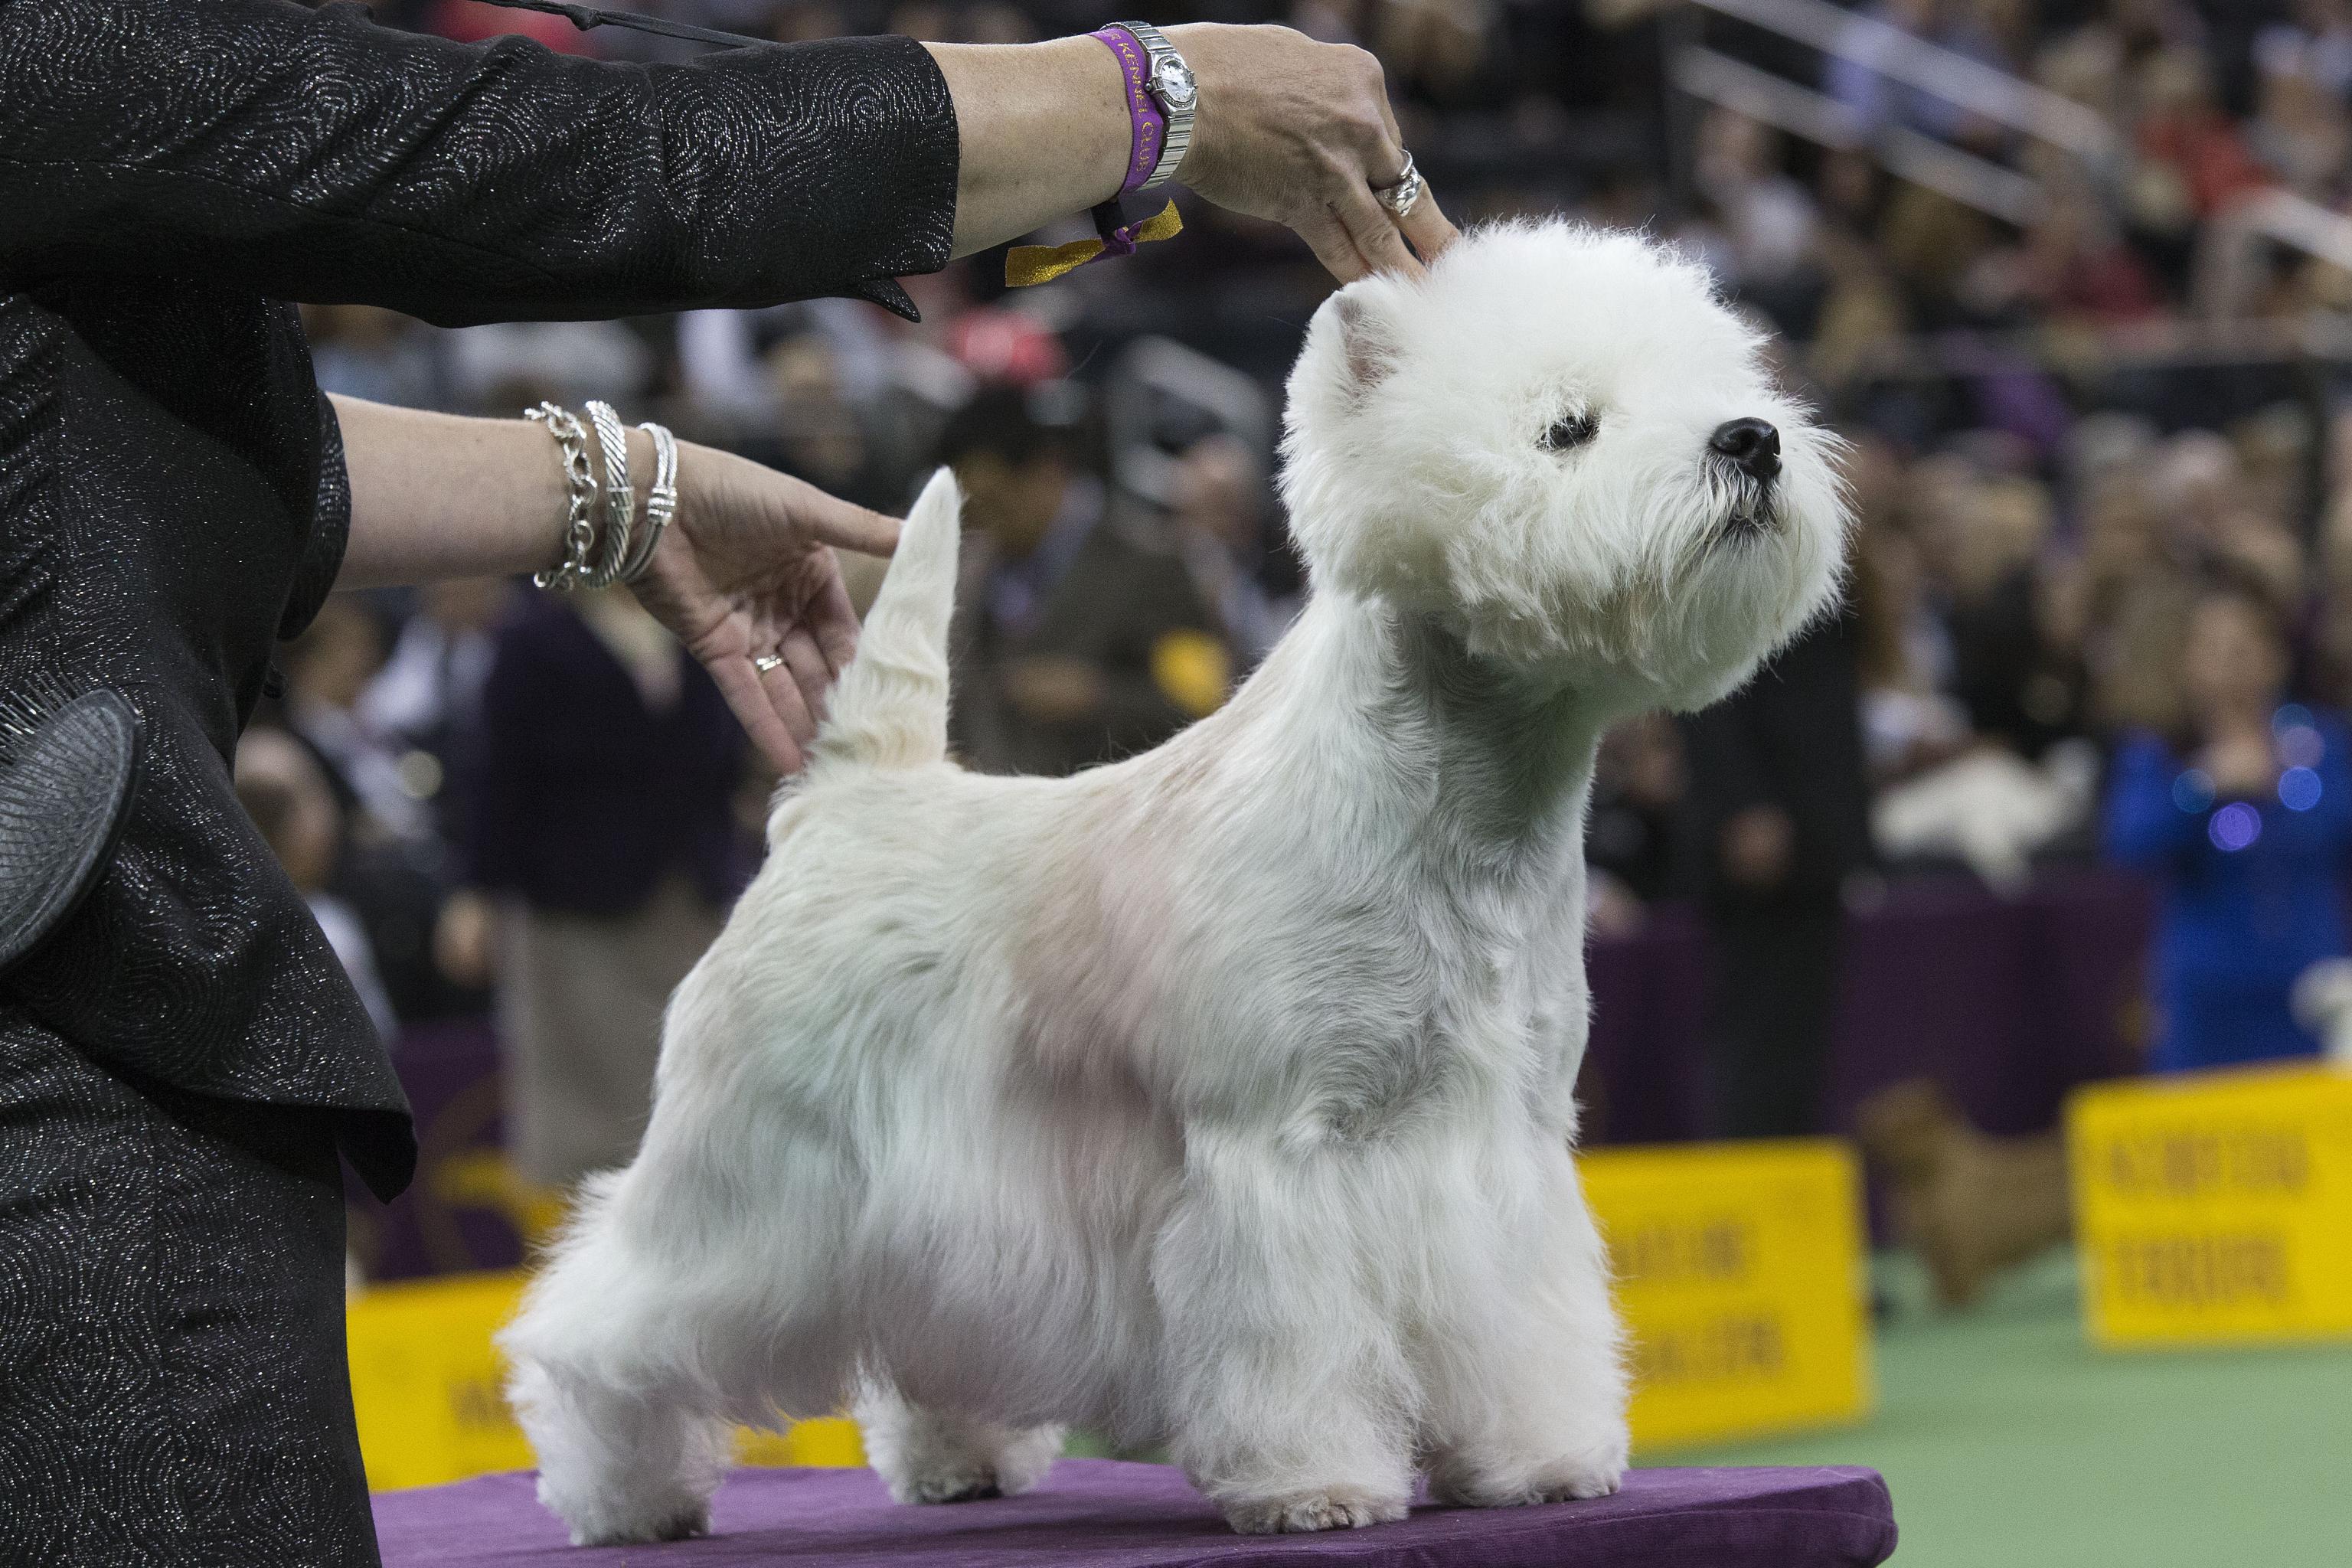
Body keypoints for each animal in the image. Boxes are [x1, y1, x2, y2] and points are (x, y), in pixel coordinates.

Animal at [501, 220, 1853, 1542]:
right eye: (1568, 427)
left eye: (1728, 385)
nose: (1752, 440)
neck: (1467, 807)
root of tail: (847, 797)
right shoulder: (1279, 1150)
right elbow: (1295, 1341)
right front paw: (1316, 1485)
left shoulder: (1504, 1140)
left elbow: (1519, 1318)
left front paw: (1540, 1460)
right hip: (750, 1159)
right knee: (609, 1318)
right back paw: (624, 1495)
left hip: (927, 1198)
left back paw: (958, 1461)